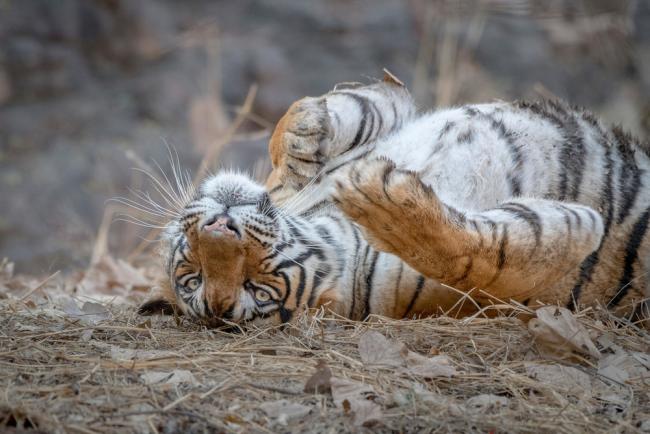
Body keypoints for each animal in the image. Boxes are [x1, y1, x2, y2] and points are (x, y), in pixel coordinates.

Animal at [139, 72, 648, 328]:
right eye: (195, 279)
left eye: (255, 287)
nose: (218, 227)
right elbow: (476, 255)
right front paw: (377, 194)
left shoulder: (385, 112)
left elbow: (328, 112)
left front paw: (307, 136)